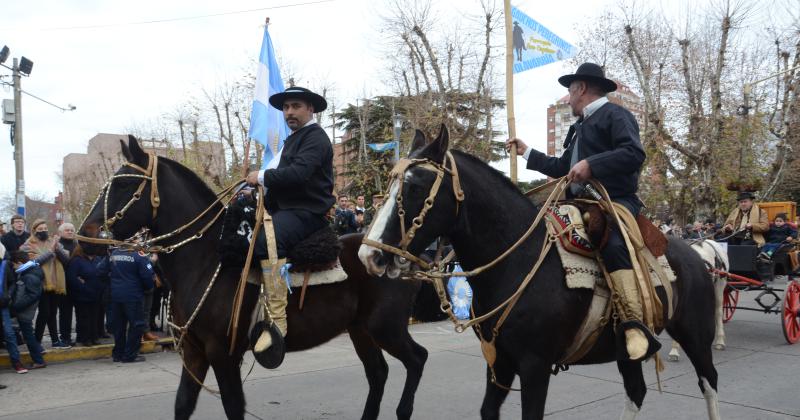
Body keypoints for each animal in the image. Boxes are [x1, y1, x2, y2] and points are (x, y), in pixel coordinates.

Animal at [360, 128, 720, 420]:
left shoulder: (535, 366)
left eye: (415, 187)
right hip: (627, 351)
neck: (517, 261)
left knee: (709, 382)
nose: (369, 255)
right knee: (636, 392)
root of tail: (696, 252)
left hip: (694, 335)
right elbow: (488, 410)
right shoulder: (498, 362)